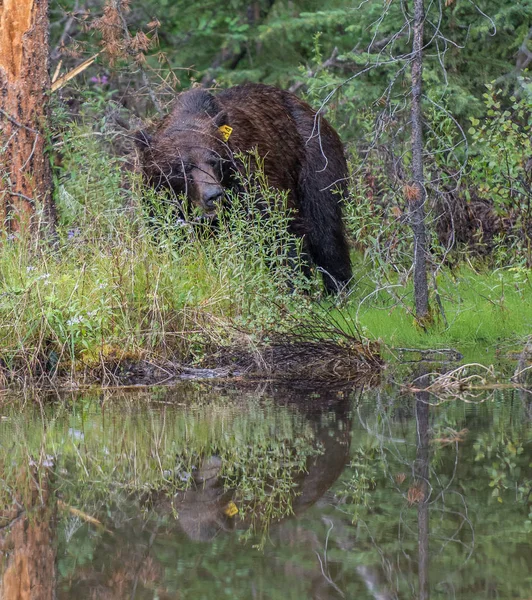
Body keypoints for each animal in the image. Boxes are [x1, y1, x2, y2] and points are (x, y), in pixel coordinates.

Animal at [136, 81, 354, 292]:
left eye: (214, 160)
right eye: (182, 167)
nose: (213, 195)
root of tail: (310, 108)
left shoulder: (251, 180)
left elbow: (278, 232)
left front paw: (293, 288)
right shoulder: (159, 204)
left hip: (315, 159)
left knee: (325, 228)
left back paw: (338, 288)